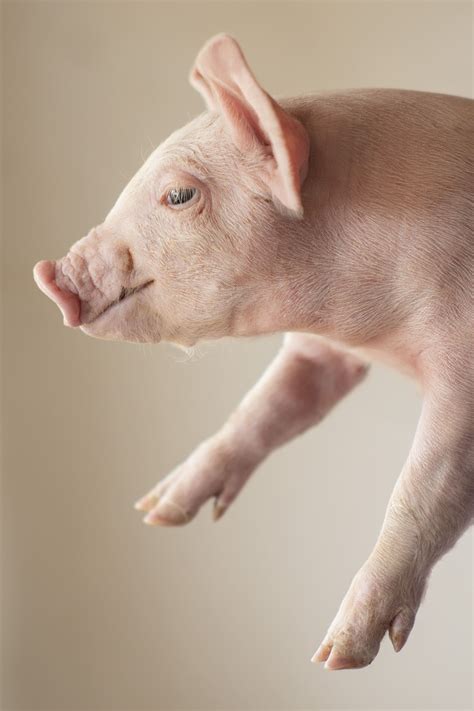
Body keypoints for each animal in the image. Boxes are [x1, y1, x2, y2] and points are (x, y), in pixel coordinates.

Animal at [33, 34, 473, 671]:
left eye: (179, 195)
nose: (47, 274)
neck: (378, 332)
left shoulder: (463, 365)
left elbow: (425, 485)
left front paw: (336, 656)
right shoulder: (320, 350)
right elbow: (267, 407)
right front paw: (158, 511)